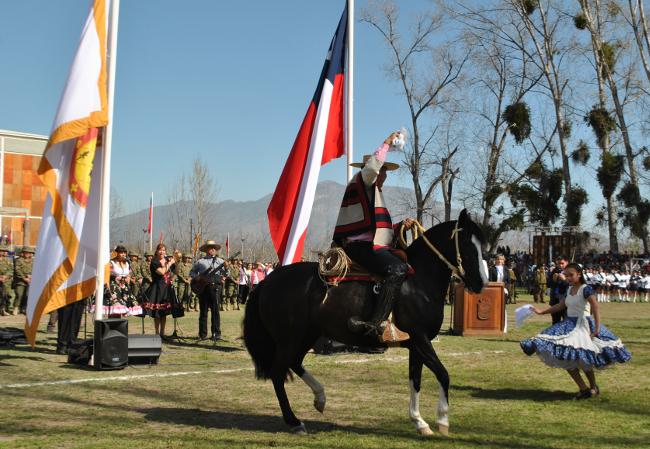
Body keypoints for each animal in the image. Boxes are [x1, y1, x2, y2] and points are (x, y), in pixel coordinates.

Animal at [243, 209, 486, 434]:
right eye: (467, 242)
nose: (481, 283)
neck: (419, 281)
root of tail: (267, 281)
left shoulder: (415, 344)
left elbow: (415, 381)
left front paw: (419, 422)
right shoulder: (420, 339)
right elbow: (443, 374)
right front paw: (442, 421)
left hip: (308, 334)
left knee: (294, 363)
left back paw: (320, 398)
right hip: (289, 339)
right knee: (278, 372)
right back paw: (295, 422)